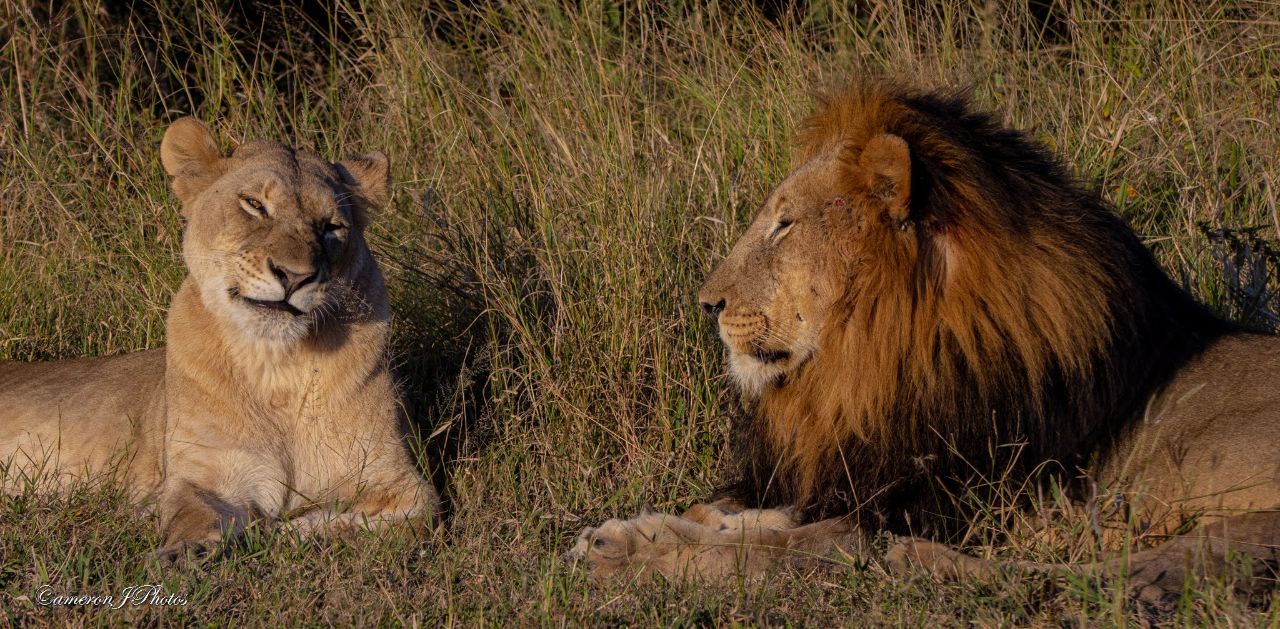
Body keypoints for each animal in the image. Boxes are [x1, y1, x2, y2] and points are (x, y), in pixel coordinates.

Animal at [0, 118, 438, 558]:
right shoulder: (207, 474)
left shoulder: (402, 483)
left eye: (331, 227)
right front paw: (181, 554)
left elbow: (396, 524)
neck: (278, 368)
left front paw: (287, 530)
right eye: (255, 205)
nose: (294, 276)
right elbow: (192, 514)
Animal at [567, 82, 1280, 602]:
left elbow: (791, 545)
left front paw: (635, 553)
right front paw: (680, 522)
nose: (707, 302)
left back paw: (930, 563)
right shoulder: (867, 474)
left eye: (784, 224)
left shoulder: (941, 501)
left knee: (1128, 574)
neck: (876, 358)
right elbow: (766, 514)